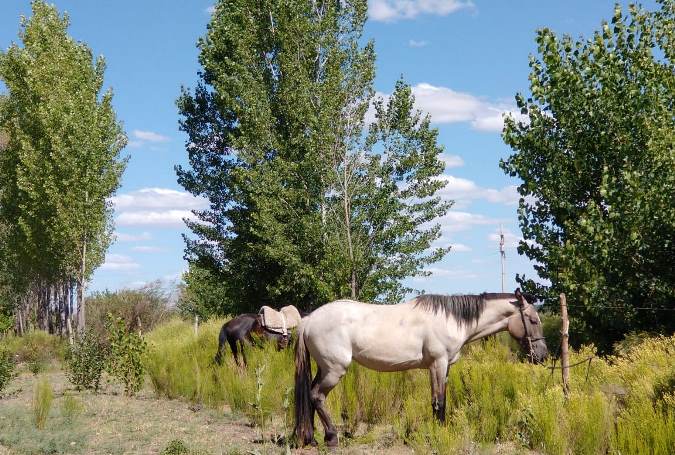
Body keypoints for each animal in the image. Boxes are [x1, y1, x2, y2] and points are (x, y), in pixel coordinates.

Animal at [296, 290, 548, 448]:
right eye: (533, 320)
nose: (542, 355)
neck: (451, 320)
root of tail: (309, 320)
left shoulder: (439, 368)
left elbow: (438, 401)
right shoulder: (438, 363)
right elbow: (439, 402)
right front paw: (439, 434)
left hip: (324, 368)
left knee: (310, 395)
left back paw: (313, 439)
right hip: (334, 370)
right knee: (317, 396)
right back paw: (331, 438)